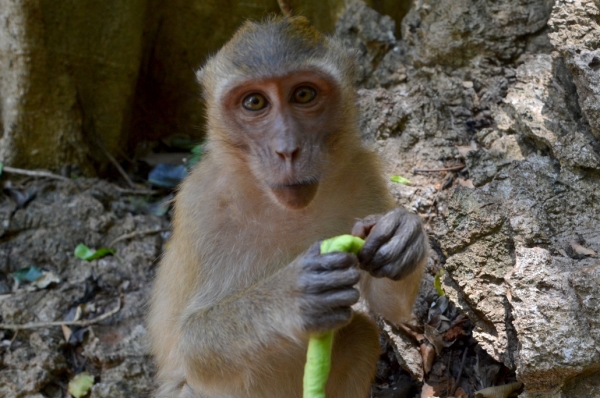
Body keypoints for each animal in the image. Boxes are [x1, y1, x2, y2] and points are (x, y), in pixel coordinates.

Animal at [149, 15, 432, 398]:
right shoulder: (201, 206)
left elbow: (389, 307)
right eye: (254, 102)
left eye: (304, 94)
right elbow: (192, 345)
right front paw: (294, 294)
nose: (287, 150)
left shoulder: (363, 172)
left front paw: (402, 234)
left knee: (361, 336)